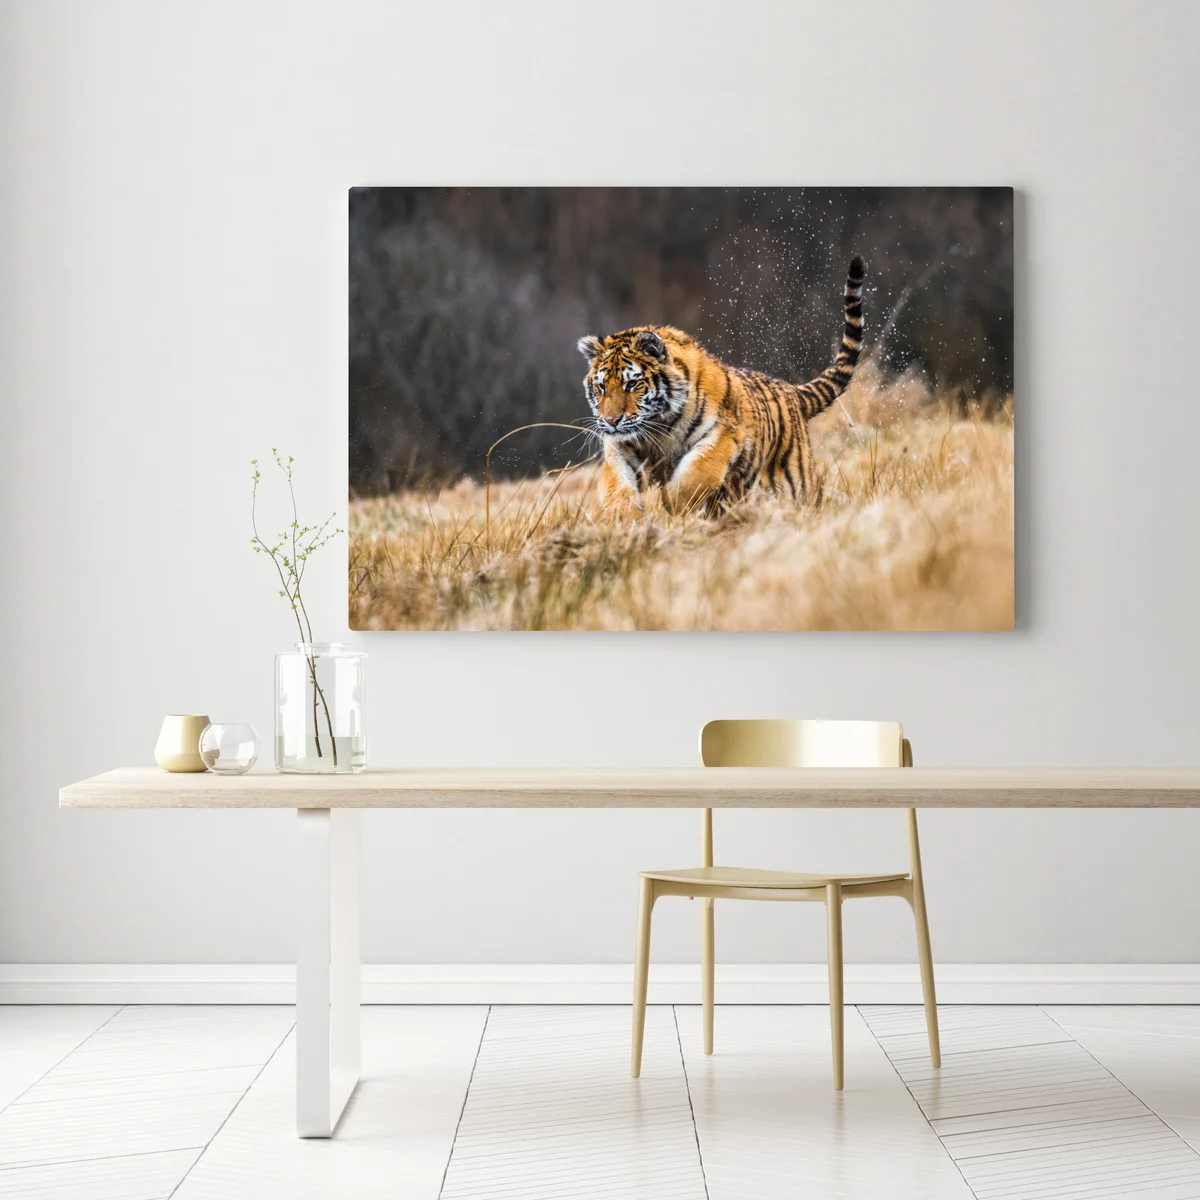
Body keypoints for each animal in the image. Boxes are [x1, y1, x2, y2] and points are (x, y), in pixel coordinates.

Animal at [578, 255, 865, 515]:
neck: (658, 428)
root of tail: (791, 390)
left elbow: (696, 474)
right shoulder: (620, 447)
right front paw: (623, 518)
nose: (611, 420)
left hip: (798, 482)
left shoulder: (723, 435)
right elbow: (617, 484)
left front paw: (673, 504)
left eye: (632, 384)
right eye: (601, 387)